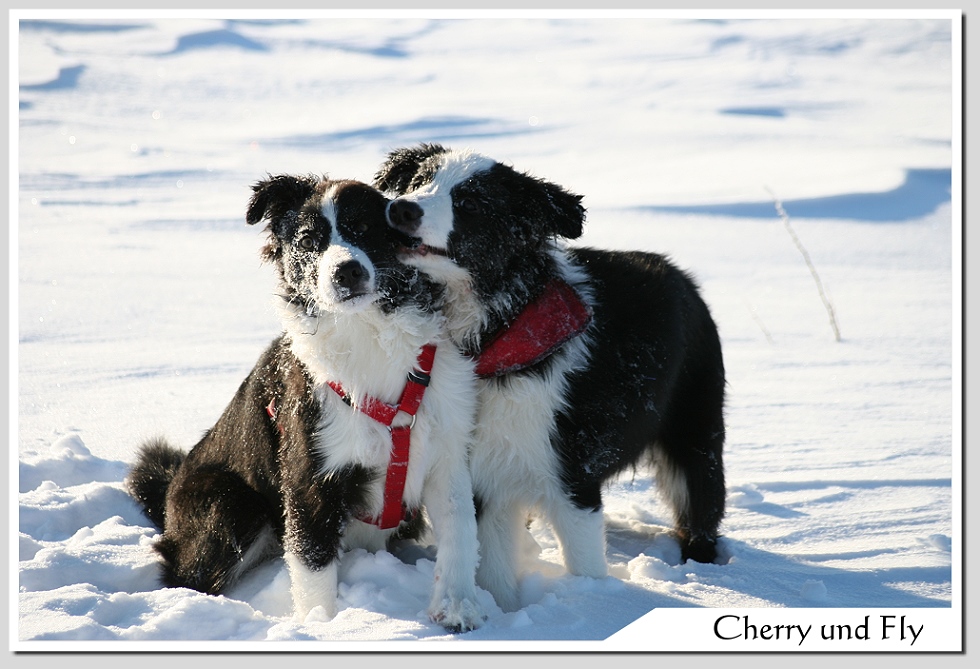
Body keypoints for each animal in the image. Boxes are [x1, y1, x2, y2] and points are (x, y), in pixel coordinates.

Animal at [126, 174, 486, 632]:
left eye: (363, 227)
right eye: (308, 240)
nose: (347, 271)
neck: (366, 333)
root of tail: (171, 486)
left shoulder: (444, 453)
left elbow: (460, 533)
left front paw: (457, 607)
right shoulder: (310, 475)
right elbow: (314, 566)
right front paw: (324, 627)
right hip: (230, 503)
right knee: (188, 573)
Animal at [376, 145, 728, 612]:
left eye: (470, 204)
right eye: (419, 181)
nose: (401, 209)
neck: (498, 338)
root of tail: (678, 273)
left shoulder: (571, 472)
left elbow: (584, 562)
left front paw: (591, 602)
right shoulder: (484, 475)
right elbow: (493, 569)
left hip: (695, 426)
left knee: (700, 497)